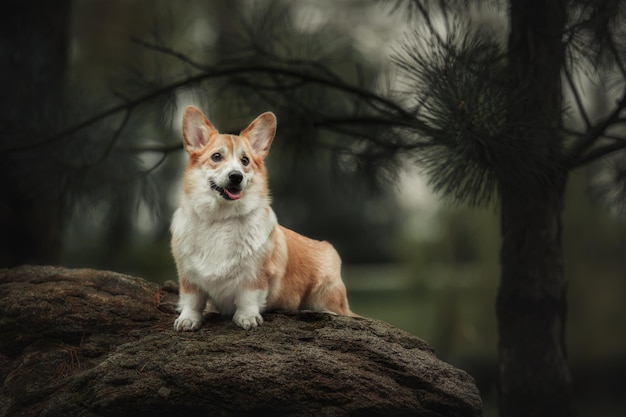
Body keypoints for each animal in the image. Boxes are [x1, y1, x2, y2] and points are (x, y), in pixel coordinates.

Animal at [169, 105, 352, 330]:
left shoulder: (255, 274)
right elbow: (192, 300)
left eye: (245, 161)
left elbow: (248, 297)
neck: (221, 218)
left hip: (325, 293)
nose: (236, 176)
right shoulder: (188, 275)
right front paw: (187, 319)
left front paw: (247, 318)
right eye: (216, 157)